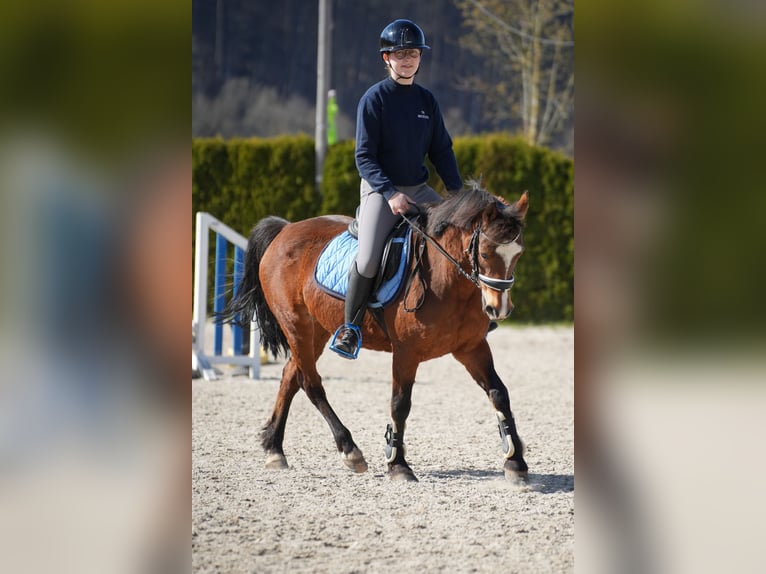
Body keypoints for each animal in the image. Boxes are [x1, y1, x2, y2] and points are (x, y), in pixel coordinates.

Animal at [222, 185, 530, 482]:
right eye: (485, 254)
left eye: (518, 255)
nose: (499, 309)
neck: (449, 283)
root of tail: (286, 229)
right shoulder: (406, 352)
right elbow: (400, 404)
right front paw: (398, 464)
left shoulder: (471, 348)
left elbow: (499, 393)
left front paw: (515, 462)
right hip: (295, 325)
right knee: (310, 383)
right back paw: (349, 449)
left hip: (317, 331)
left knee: (290, 377)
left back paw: (275, 449)